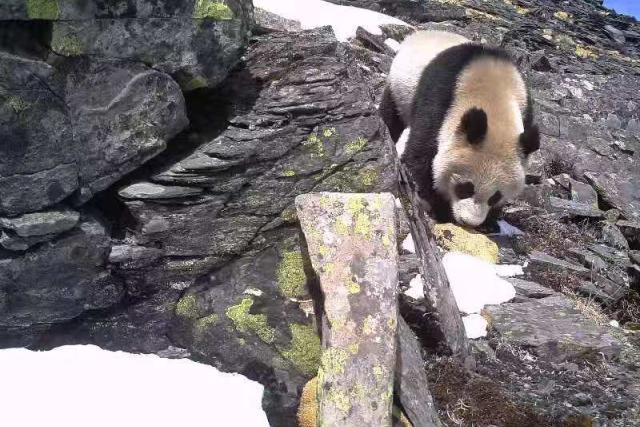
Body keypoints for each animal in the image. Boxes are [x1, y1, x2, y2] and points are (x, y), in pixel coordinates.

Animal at [380, 30, 540, 227]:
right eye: (466, 188)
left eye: (495, 196)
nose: (469, 222)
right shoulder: (440, 102)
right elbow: (420, 156)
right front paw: (440, 209)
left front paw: (491, 221)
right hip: (398, 89)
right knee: (391, 117)